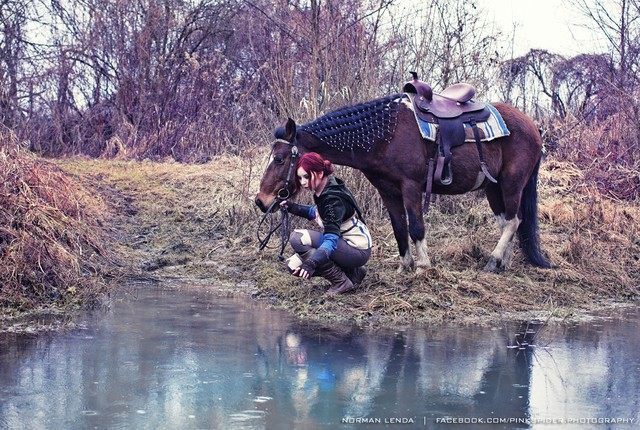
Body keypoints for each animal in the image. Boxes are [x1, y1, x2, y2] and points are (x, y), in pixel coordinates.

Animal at [255, 93, 552, 272]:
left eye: (280, 159)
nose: (261, 201)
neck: (385, 136)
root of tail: (533, 125)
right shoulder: (388, 192)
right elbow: (399, 228)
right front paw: (404, 266)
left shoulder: (411, 187)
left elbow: (417, 227)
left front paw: (423, 267)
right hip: (493, 188)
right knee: (508, 222)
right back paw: (504, 263)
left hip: (513, 183)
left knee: (514, 220)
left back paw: (493, 260)